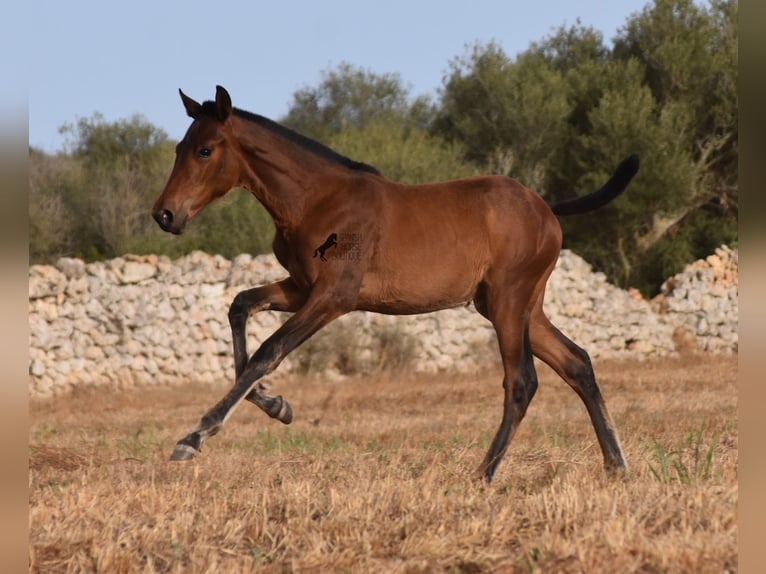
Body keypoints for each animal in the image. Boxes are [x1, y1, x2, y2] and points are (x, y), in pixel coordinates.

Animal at [153, 84, 640, 482]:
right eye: (179, 147)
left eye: (205, 151)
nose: (165, 215)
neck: (315, 200)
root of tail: (547, 211)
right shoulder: (301, 288)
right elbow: (240, 306)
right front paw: (278, 407)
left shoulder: (334, 296)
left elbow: (268, 351)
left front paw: (195, 436)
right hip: (518, 307)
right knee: (577, 363)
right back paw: (615, 465)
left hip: (508, 301)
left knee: (521, 382)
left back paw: (482, 474)